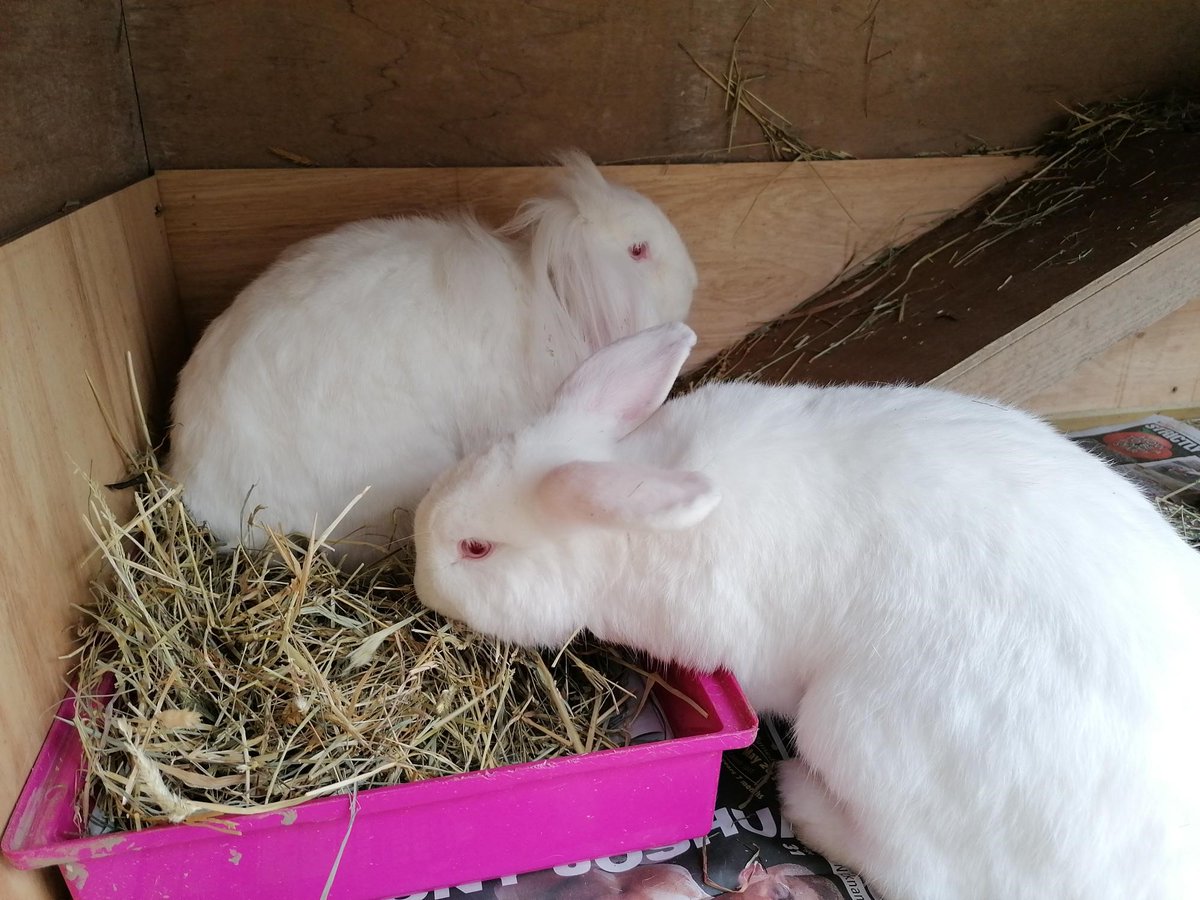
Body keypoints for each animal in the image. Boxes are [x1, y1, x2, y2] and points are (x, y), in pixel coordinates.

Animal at [413, 322, 1200, 900]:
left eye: (477, 548)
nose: (419, 582)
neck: (640, 515)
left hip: (854, 727)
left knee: (912, 869)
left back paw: (800, 797)